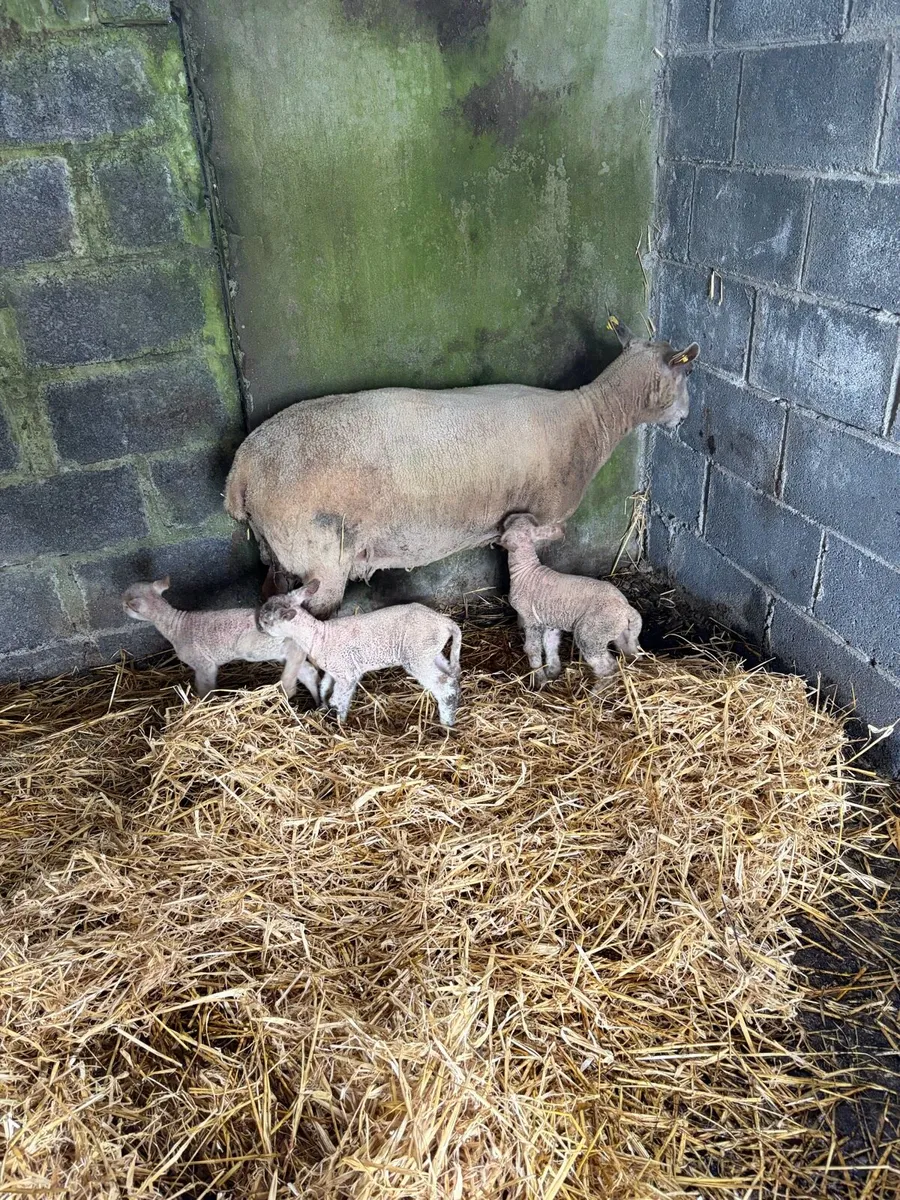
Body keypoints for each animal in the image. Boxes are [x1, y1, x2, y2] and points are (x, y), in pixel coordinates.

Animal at [121, 577, 320, 702]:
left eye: (125, 604)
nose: (120, 605)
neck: (176, 625)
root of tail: (295, 605)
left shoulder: (203, 664)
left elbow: (205, 688)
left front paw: (204, 703)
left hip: (275, 642)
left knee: (297, 654)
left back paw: (287, 687)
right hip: (279, 650)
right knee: (308, 671)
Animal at [258, 581, 462, 726]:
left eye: (267, 621)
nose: (258, 626)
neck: (319, 637)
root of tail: (446, 623)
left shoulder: (347, 672)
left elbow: (338, 699)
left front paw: (339, 723)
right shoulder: (335, 671)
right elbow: (324, 689)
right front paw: (327, 711)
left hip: (417, 654)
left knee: (445, 685)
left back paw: (446, 723)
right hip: (430, 651)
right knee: (452, 677)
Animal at [498, 515, 642, 686]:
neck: (525, 570)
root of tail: (627, 609)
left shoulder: (531, 618)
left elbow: (532, 648)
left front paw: (539, 680)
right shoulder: (549, 620)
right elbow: (550, 644)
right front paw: (552, 672)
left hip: (591, 633)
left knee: (608, 667)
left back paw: (595, 692)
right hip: (620, 633)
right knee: (627, 653)